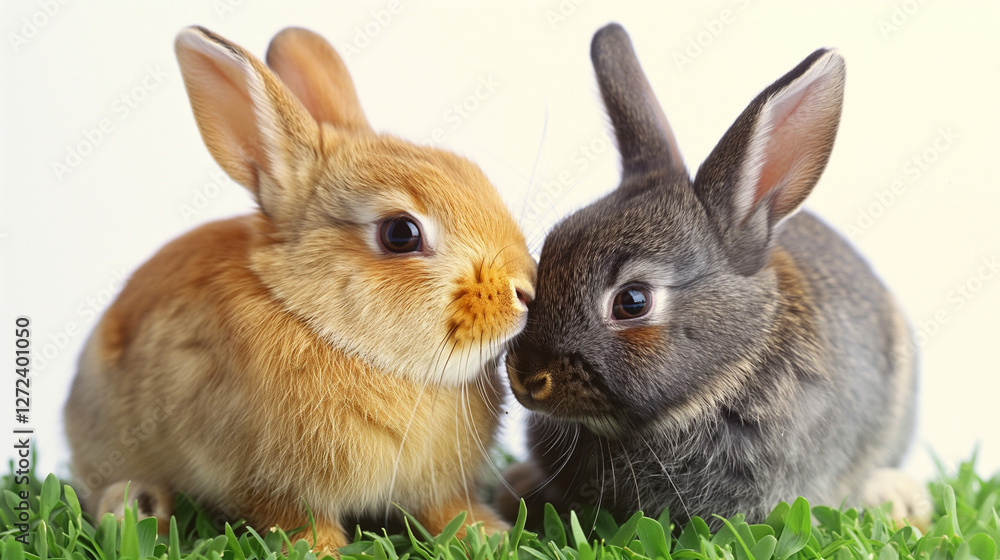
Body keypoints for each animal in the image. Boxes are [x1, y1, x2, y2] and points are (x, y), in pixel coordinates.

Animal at [63, 26, 536, 553]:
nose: (525, 292)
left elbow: (446, 510)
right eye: (401, 233)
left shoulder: (435, 485)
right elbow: (297, 520)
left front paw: (487, 536)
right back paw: (138, 506)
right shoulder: (267, 482)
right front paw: (323, 552)